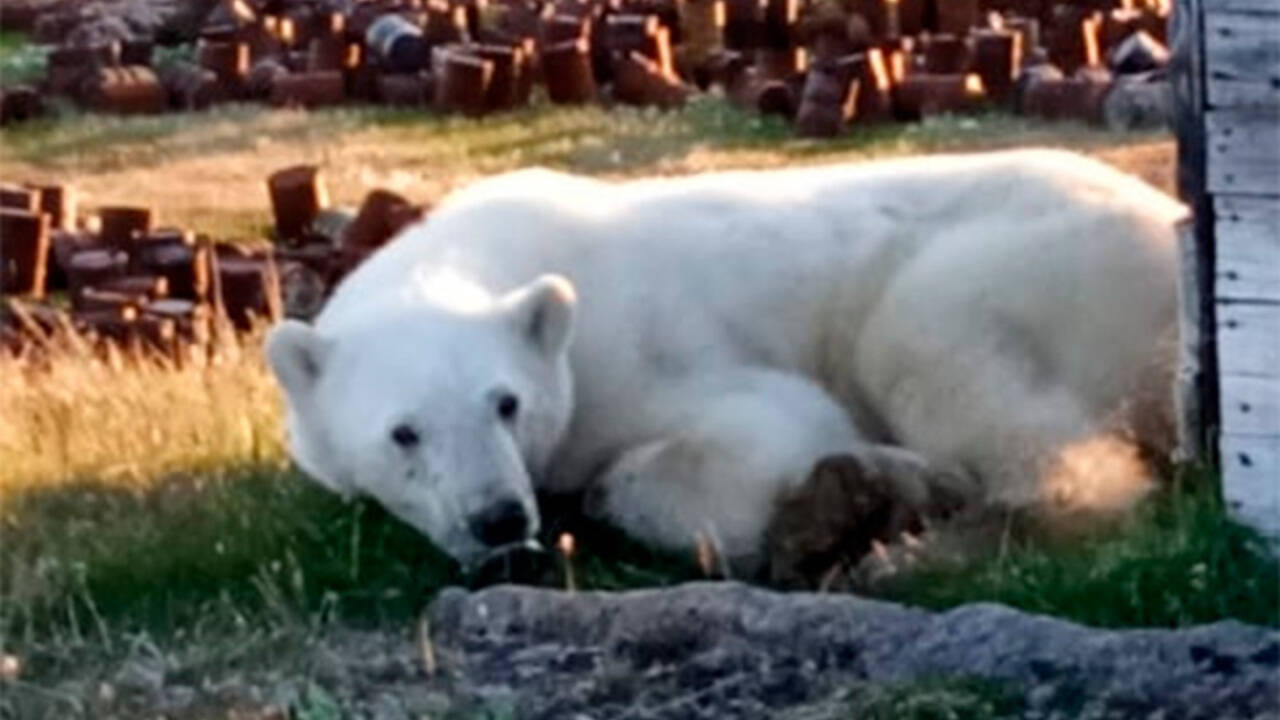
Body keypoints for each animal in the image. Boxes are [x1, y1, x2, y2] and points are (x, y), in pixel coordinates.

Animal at [264, 148, 1182, 573]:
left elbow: (765, 429)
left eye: (506, 402)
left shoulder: (638, 349)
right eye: (404, 433)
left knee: (933, 350)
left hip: (1035, 261)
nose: (498, 518)